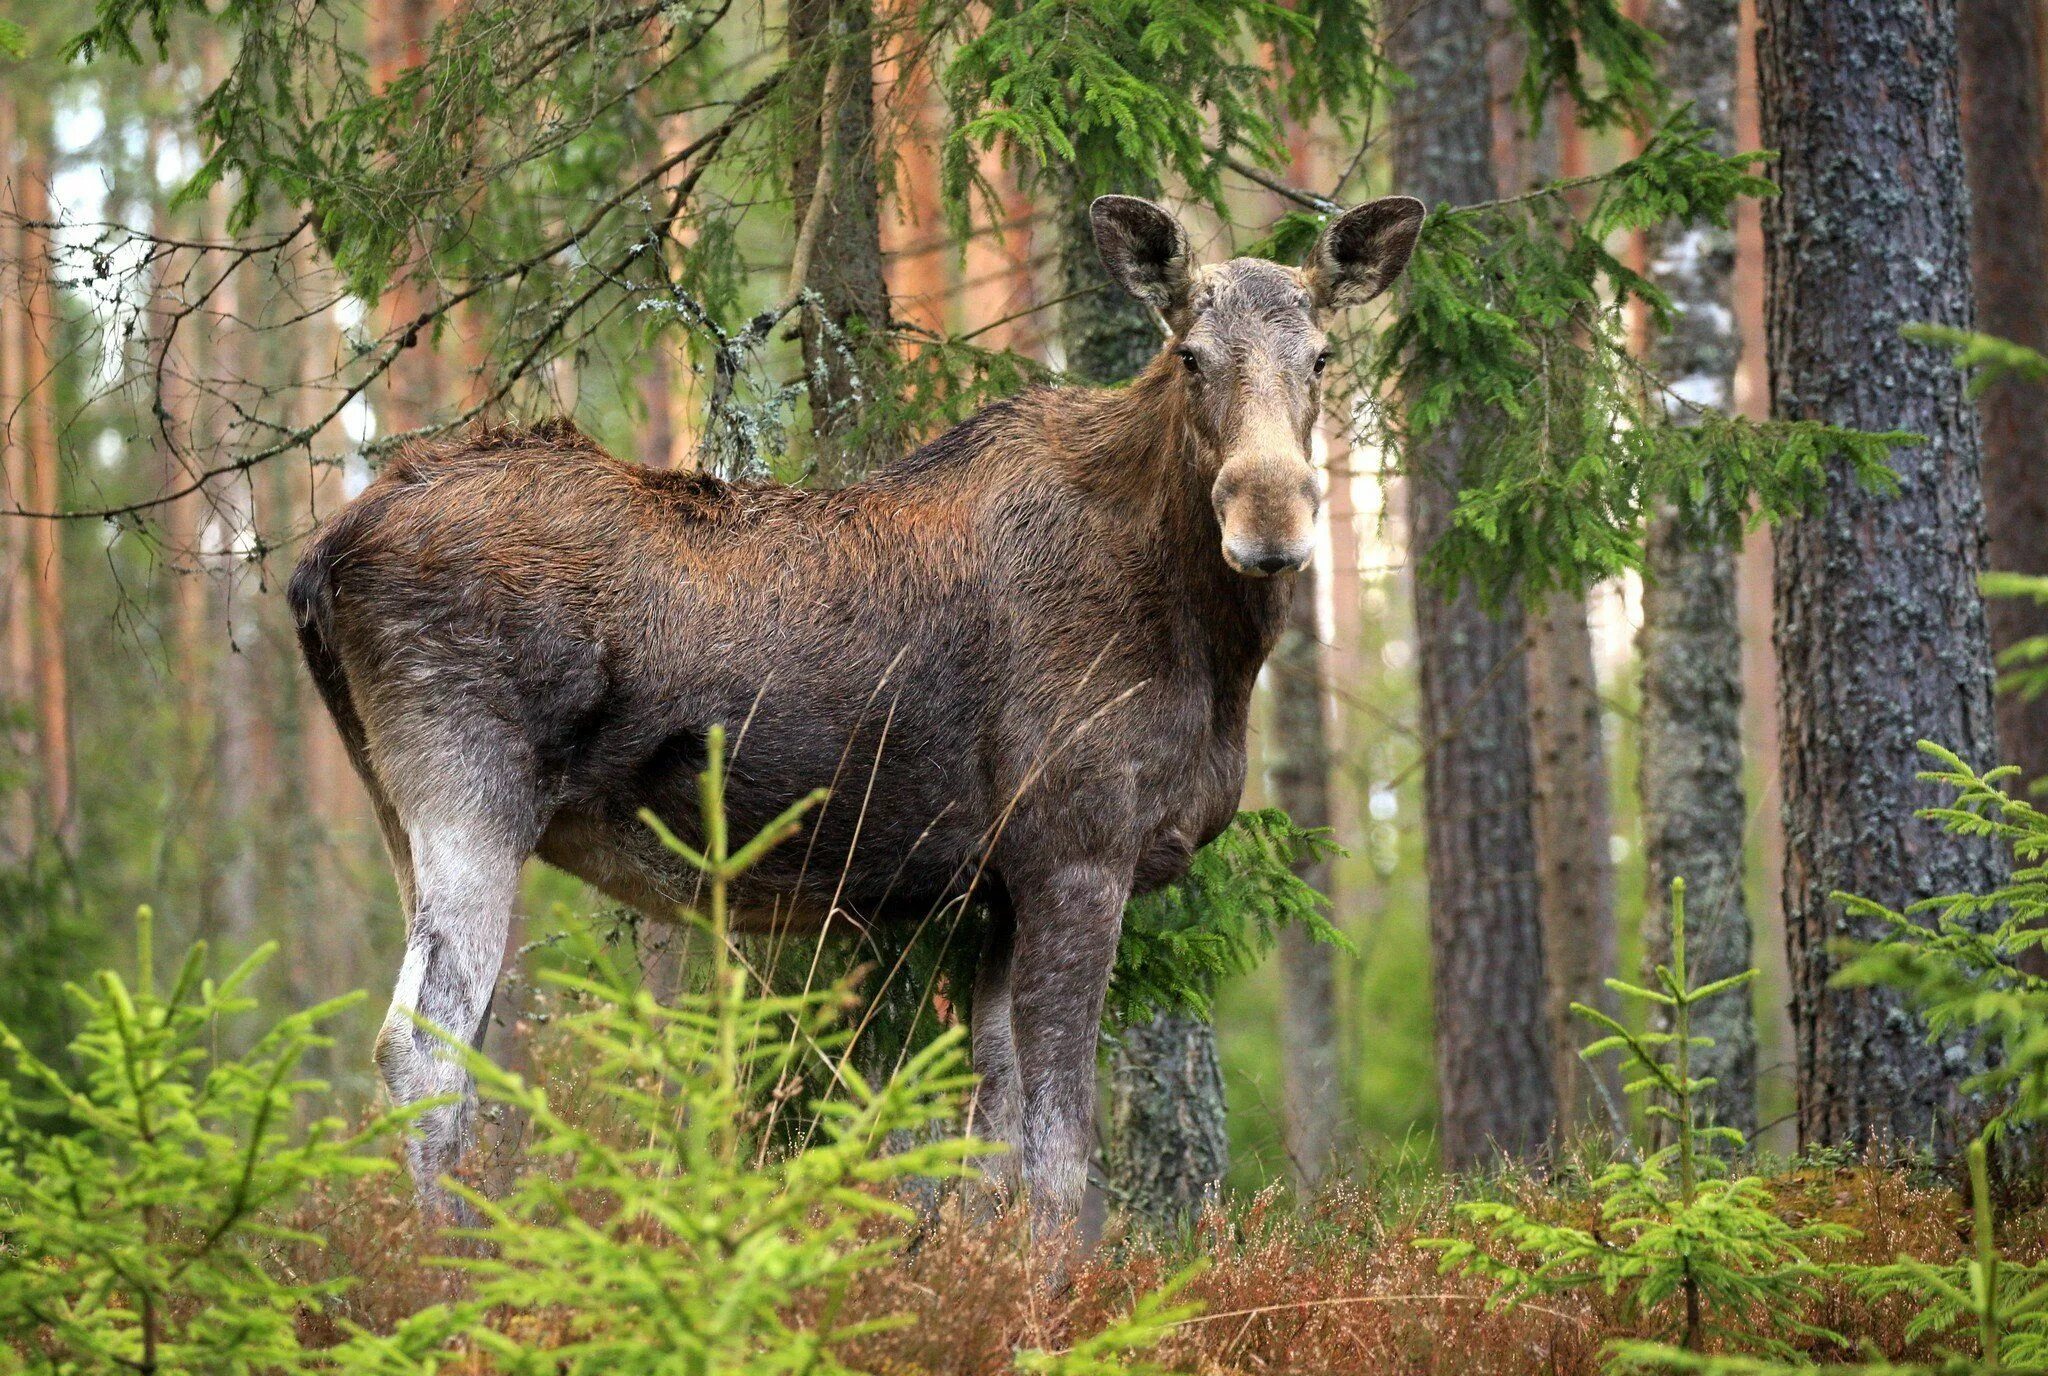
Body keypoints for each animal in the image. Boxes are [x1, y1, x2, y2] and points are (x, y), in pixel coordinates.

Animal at [292, 190, 1425, 1228]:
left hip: (399, 810)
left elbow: (992, 1143)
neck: (1207, 645)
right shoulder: (1076, 851)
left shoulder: (997, 886)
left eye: (1323, 356)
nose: (1270, 525)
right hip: (468, 792)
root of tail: (319, 561)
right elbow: (1060, 1156)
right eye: (1189, 355)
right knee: (418, 1046)